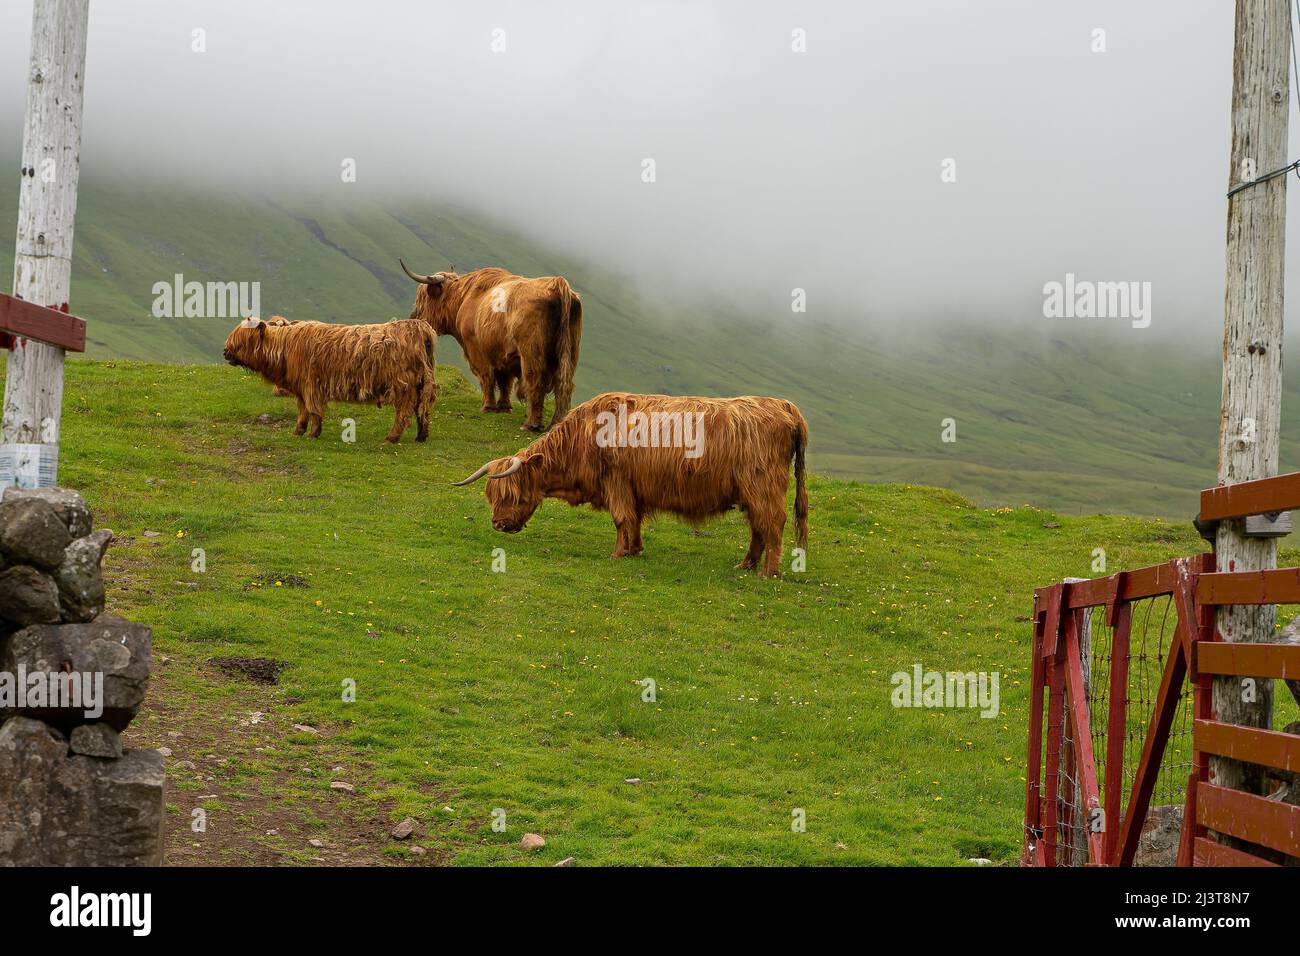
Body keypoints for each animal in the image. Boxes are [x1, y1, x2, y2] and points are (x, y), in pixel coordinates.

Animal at [222, 316, 438, 444]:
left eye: (240, 340)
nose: (225, 351)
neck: (285, 347)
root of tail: (419, 326)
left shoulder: (310, 384)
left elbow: (313, 410)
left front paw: (312, 433)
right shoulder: (302, 388)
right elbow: (303, 410)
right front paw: (298, 431)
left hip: (403, 385)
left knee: (404, 412)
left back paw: (391, 438)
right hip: (422, 382)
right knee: (423, 408)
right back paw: (421, 436)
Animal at [399, 260, 582, 432]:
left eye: (422, 298)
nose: (413, 318)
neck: (463, 299)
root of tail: (557, 284)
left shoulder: (476, 349)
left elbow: (487, 377)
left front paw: (488, 406)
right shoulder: (502, 354)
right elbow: (505, 381)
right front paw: (504, 407)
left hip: (531, 353)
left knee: (535, 381)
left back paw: (530, 424)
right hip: (570, 353)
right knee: (563, 384)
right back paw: (556, 423)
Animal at [453, 392, 809, 577]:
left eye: (511, 493)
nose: (498, 525)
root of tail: (786, 407)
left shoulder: (617, 481)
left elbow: (621, 518)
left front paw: (616, 555)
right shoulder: (632, 488)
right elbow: (634, 520)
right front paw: (635, 550)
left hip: (762, 485)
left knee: (772, 523)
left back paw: (767, 572)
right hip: (750, 491)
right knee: (758, 527)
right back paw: (746, 564)